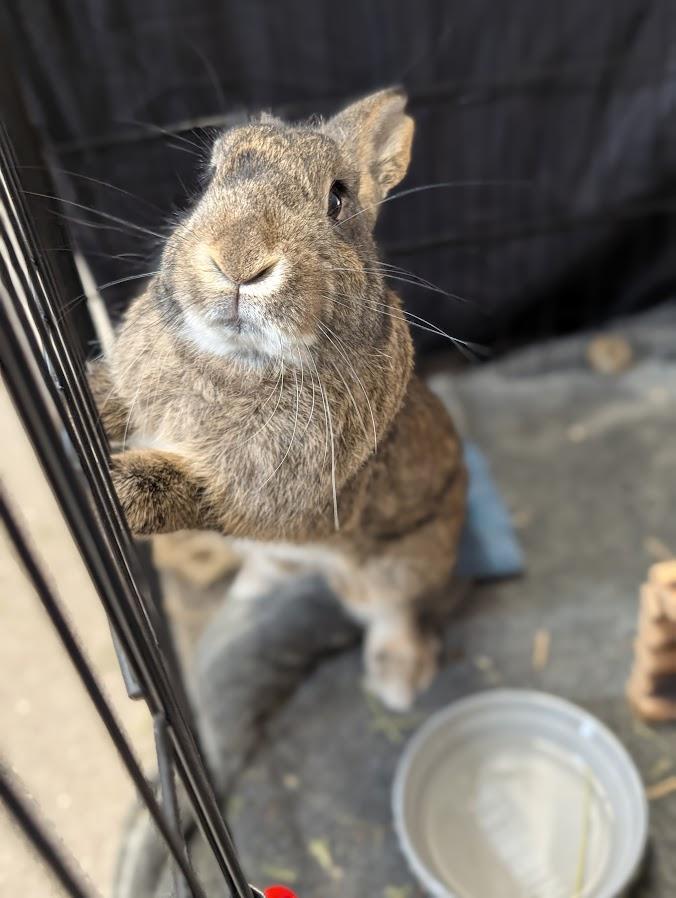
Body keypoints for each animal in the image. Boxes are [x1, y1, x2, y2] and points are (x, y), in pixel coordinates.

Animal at [89, 88, 467, 710]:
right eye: (210, 176)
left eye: (337, 198)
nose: (239, 261)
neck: (235, 361)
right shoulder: (134, 390)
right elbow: (108, 397)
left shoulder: (271, 491)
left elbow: (176, 486)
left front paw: (107, 487)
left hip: (399, 562)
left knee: (390, 609)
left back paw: (397, 680)